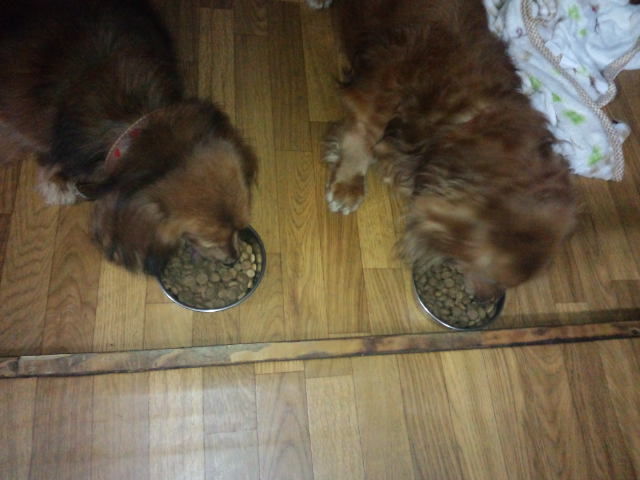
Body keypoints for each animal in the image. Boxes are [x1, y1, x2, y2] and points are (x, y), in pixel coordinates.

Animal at [308, 0, 576, 300]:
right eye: (490, 275)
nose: (483, 299)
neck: (468, 115)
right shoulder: (384, 77)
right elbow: (365, 132)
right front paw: (348, 185)